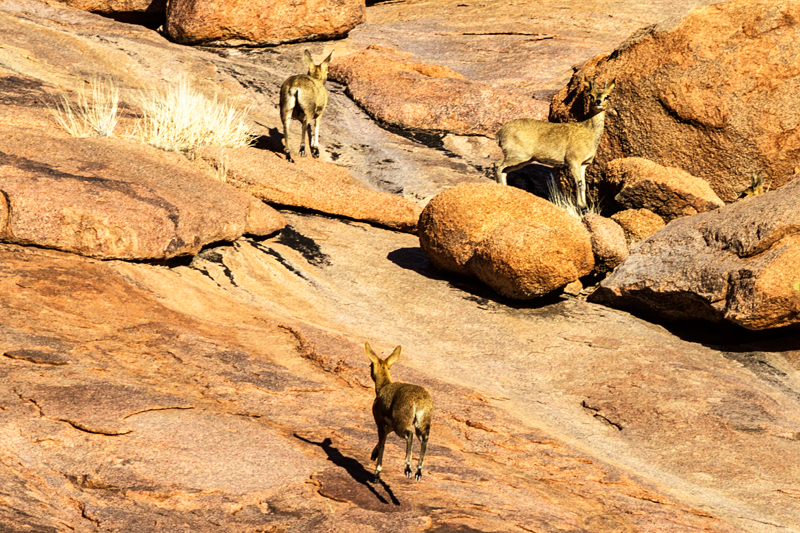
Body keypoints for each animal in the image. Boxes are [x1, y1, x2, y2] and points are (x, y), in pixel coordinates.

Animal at [366, 340, 434, 482]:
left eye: (370, 364)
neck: (383, 387)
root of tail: (419, 402)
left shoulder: (380, 422)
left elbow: (383, 443)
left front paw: (377, 473)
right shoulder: (390, 425)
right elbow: (384, 439)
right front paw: (374, 454)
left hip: (401, 423)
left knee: (410, 434)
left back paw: (407, 468)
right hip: (421, 423)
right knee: (424, 439)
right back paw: (418, 472)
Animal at [494, 77, 620, 214]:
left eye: (607, 96)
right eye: (590, 95)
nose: (598, 102)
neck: (589, 132)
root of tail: (499, 133)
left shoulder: (584, 164)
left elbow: (584, 185)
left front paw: (585, 207)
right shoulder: (573, 160)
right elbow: (578, 183)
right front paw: (582, 207)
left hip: (523, 159)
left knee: (503, 170)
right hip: (517, 154)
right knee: (498, 166)